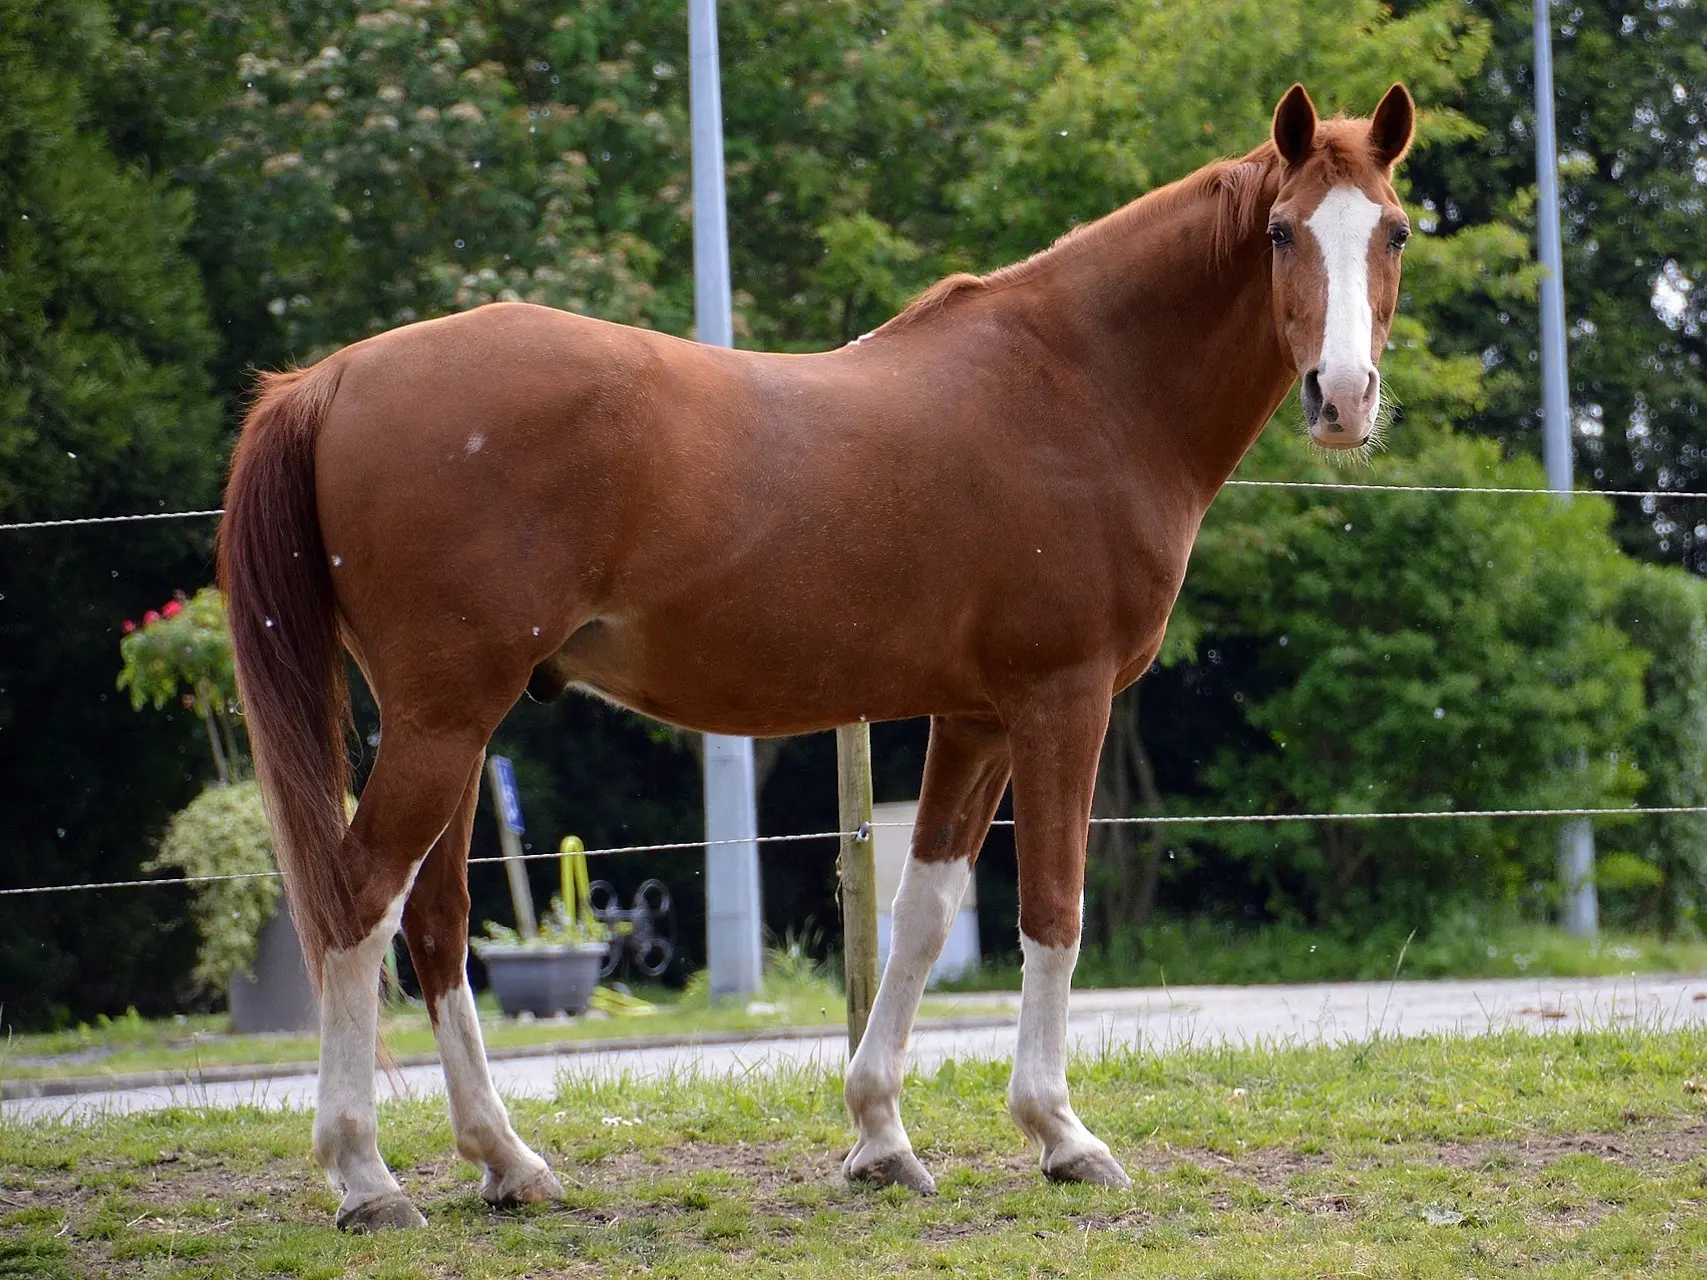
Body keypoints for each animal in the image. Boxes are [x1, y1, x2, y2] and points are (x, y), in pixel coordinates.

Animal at [216, 85, 1413, 1228]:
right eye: (1280, 232)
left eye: (1394, 232)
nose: (1342, 397)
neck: (1082, 384)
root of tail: (332, 377)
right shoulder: (1060, 701)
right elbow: (1052, 910)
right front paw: (1062, 1134)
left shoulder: (975, 718)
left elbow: (923, 915)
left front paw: (880, 1135)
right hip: (443, 719)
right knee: (360, 902)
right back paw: (367, 1176)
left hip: (455, 728)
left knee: (435, 921)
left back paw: (508, 1162)